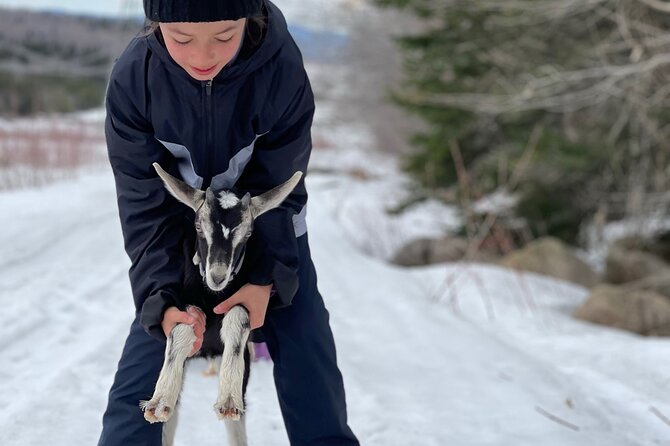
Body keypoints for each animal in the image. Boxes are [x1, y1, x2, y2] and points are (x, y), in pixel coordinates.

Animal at [142, 163, 304, 446]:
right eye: (198, 225)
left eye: (248, 233)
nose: (217, 276)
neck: (212, 298)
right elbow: (181, 328)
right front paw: (160, 401)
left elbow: (238, 315)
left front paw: (228, 398)